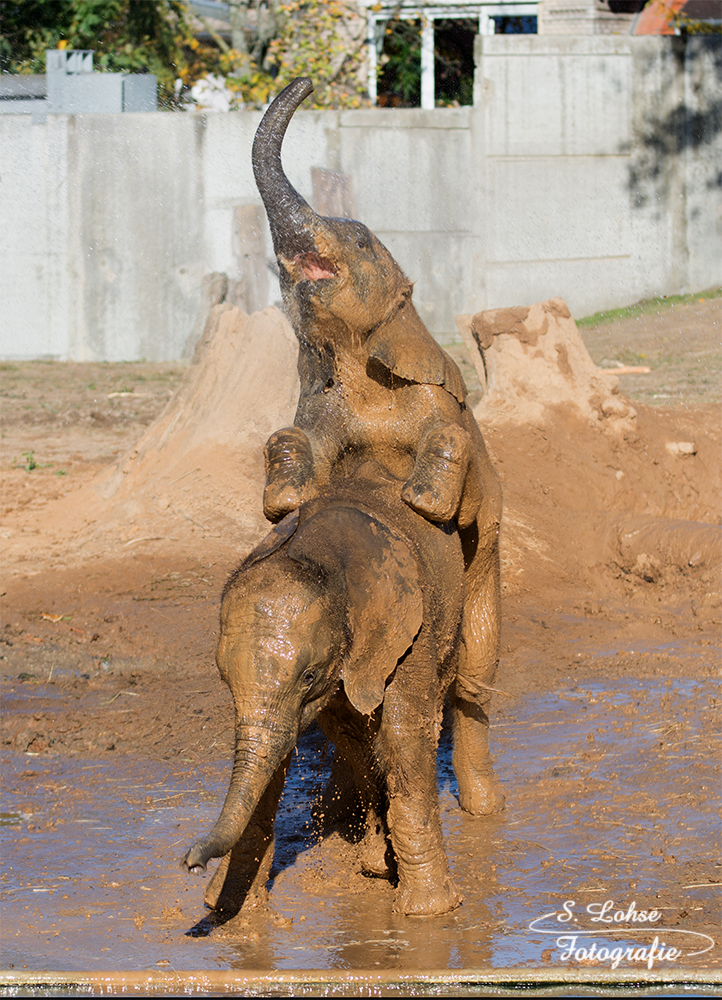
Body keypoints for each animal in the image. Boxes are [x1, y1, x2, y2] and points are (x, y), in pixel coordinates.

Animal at [183, 464, 470, 916]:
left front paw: (430, 912)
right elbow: (277, 754)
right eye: (224, 678)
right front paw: (228, 907)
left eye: (309, 676)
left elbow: (404, 734)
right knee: (355, 741)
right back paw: (377, 862)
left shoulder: (409, 627)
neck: (315, 555)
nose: (190, 862)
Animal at [252, 76, 500, 812]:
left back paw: (485, 809)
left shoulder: (436, 398)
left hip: (489, 564)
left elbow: (450, 437)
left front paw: (425, 501)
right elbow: (298, 442)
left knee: (475, 674)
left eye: (359, 239)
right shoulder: (322, 404)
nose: (304, 82)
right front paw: (286, 496)